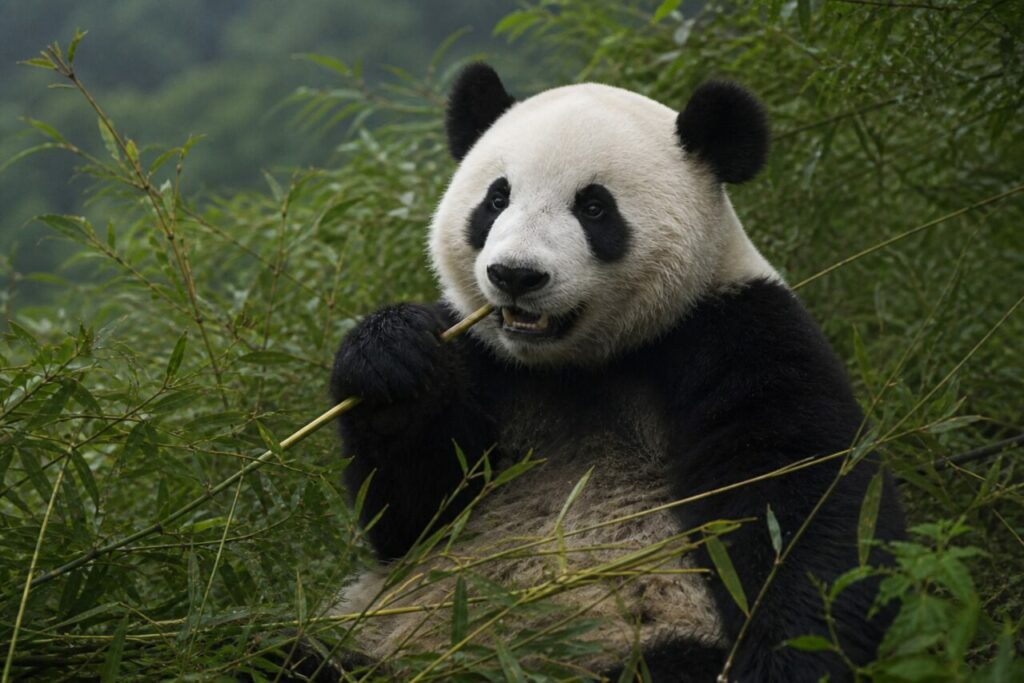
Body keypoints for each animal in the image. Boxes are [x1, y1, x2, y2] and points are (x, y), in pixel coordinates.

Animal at [325, 64, 905, 682]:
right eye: (497, 198)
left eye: (594, 208)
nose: (516, 275)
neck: (578, 364)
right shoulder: (485, 358)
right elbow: (420, 512)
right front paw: (391, 357)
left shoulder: (735, 331)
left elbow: (800, 501)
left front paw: (785, 660)